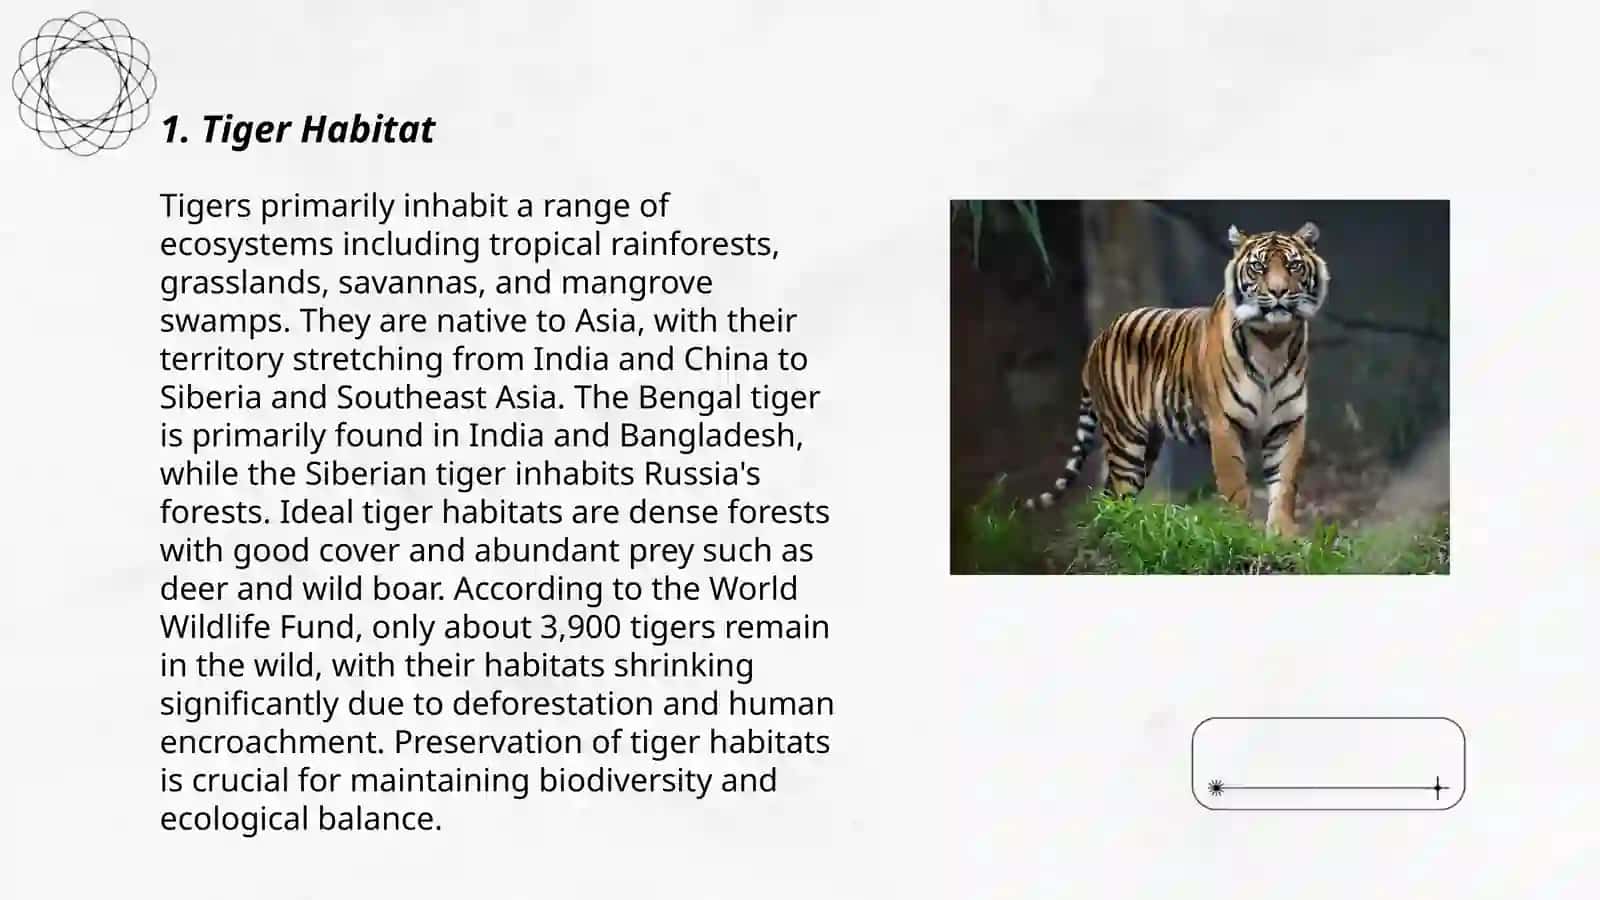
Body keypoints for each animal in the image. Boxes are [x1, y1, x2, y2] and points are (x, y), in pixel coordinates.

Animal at [1024, 221, 1330, 537]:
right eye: (1258, 267)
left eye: (1293, 266)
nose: (1278, 291)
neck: (1272, 342)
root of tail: (1099, 338)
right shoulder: (1224, 424)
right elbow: (1235, 486)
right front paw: (1239, 532)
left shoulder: (1288, 423)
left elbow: (1285, 484)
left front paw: (1283, 536)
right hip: (1126, 438)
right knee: (1119, 490)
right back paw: (1127, 529)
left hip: (1148, 444)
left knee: (1109, 493)